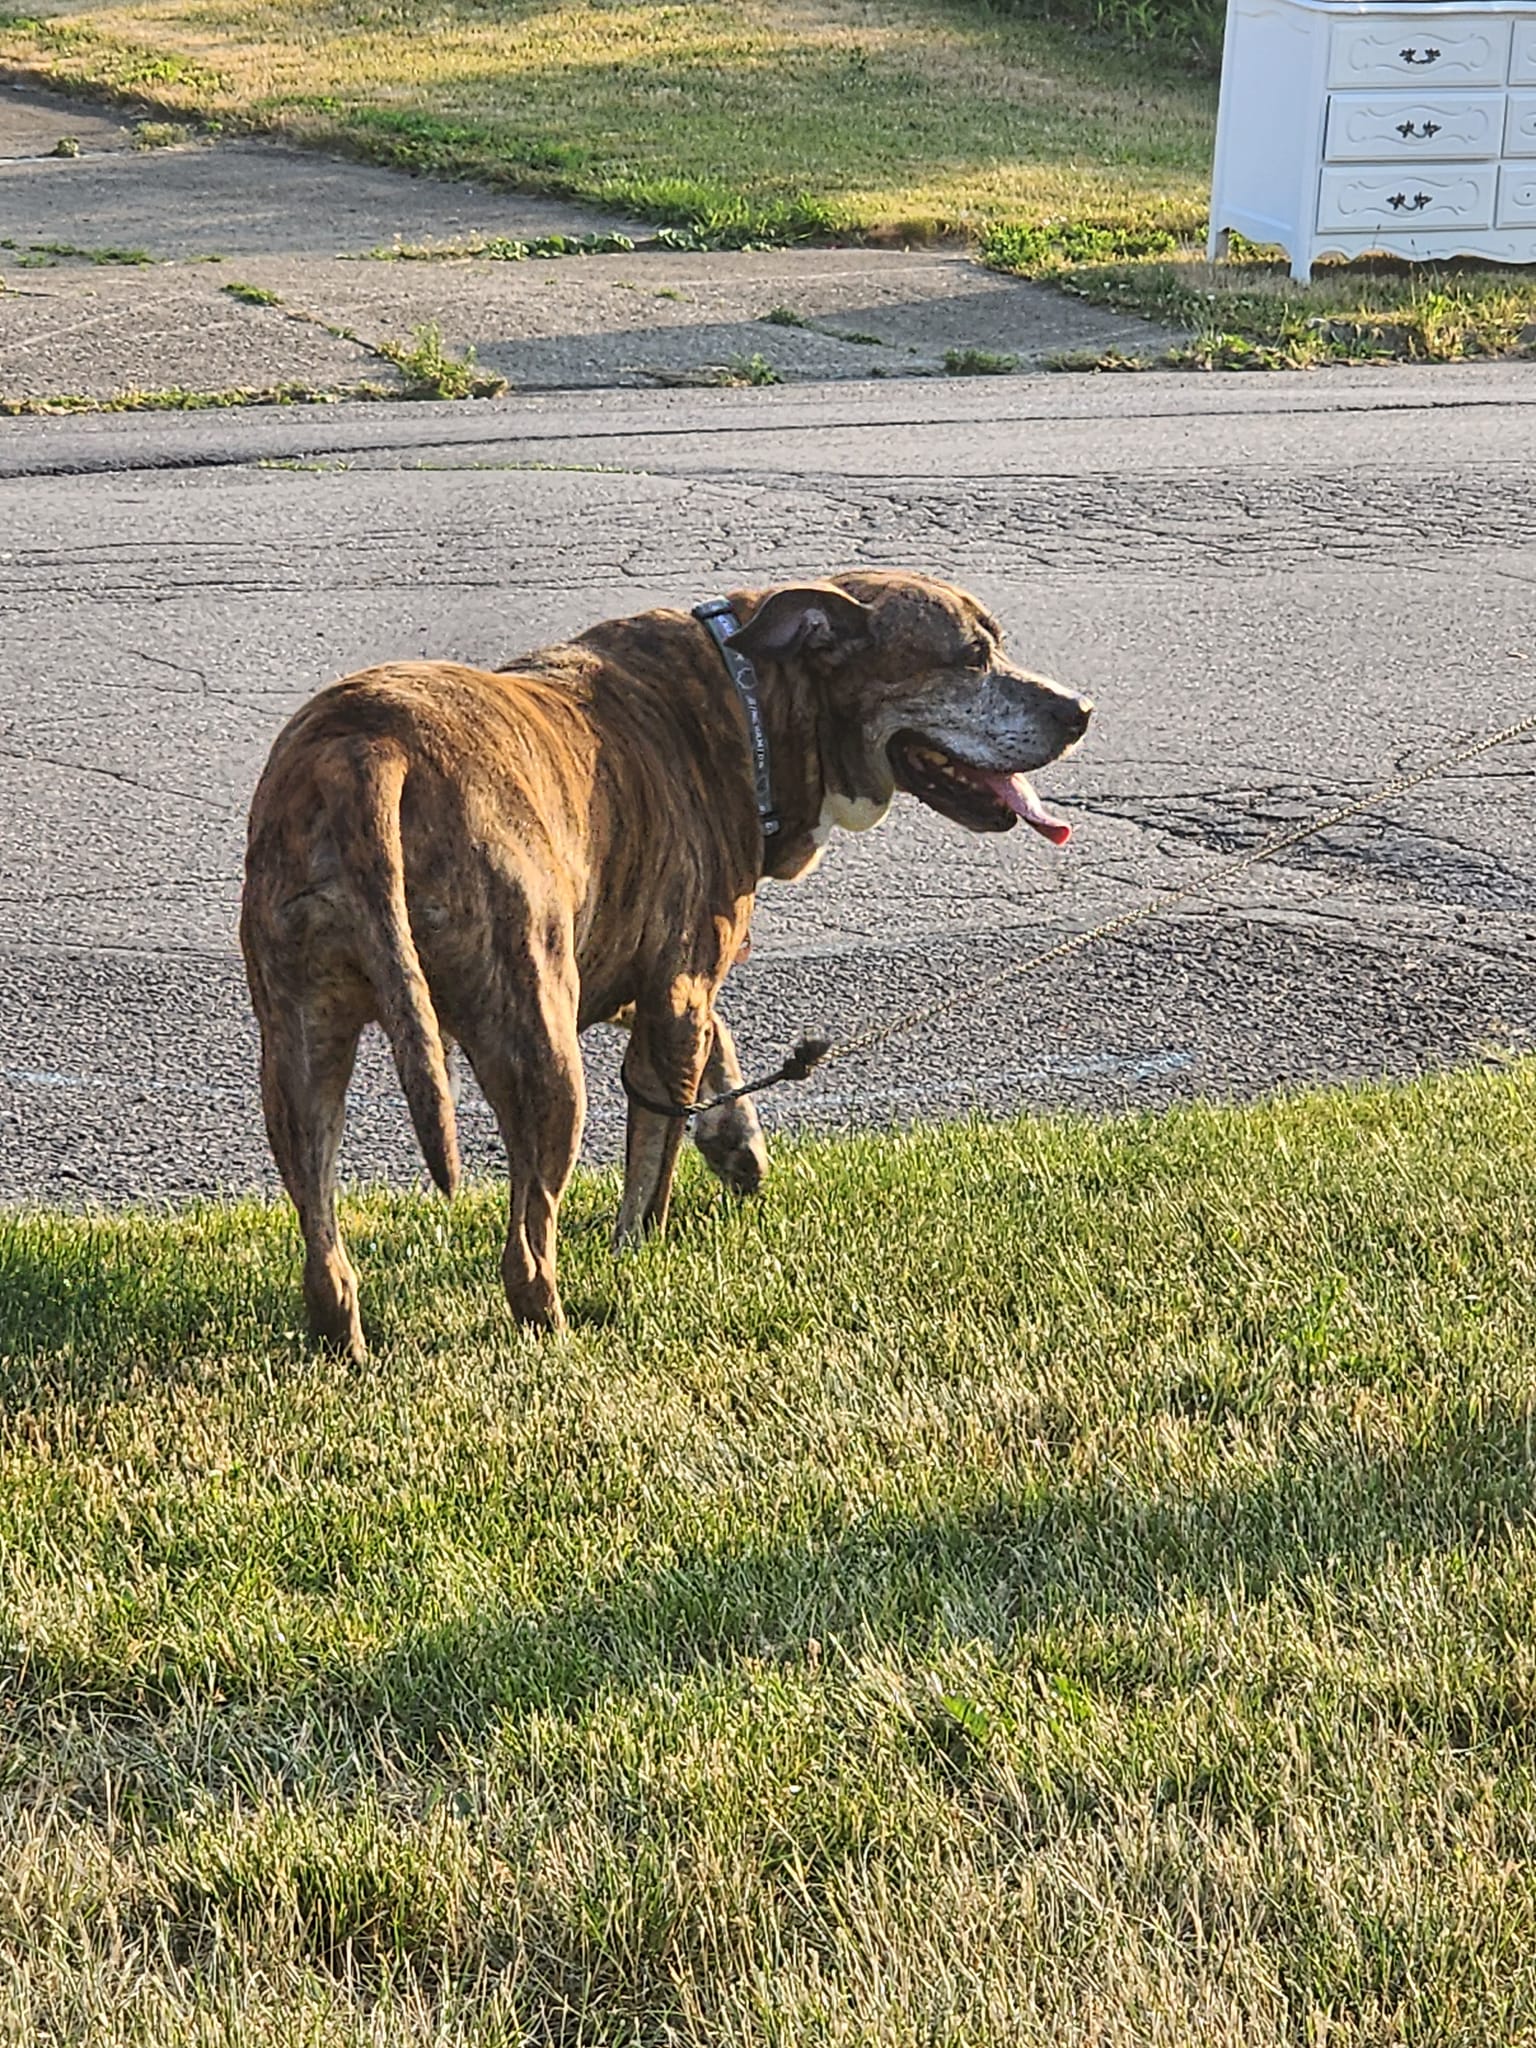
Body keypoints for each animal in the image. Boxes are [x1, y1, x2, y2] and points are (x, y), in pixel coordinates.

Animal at [240, 569, 1097, 1359]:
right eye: (971, 657)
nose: (1079, 710)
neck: (750, 696)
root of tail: (369, 747)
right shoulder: (676, 994)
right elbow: (654, 1156)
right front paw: (639, 1248)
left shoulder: (645, 979)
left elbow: (713, 1052)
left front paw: (736, 1140)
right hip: (540, 1049)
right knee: (528, 1247)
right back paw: (555, 1331)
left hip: (298, 1047)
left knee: (322, 1243)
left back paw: (343, 1341)